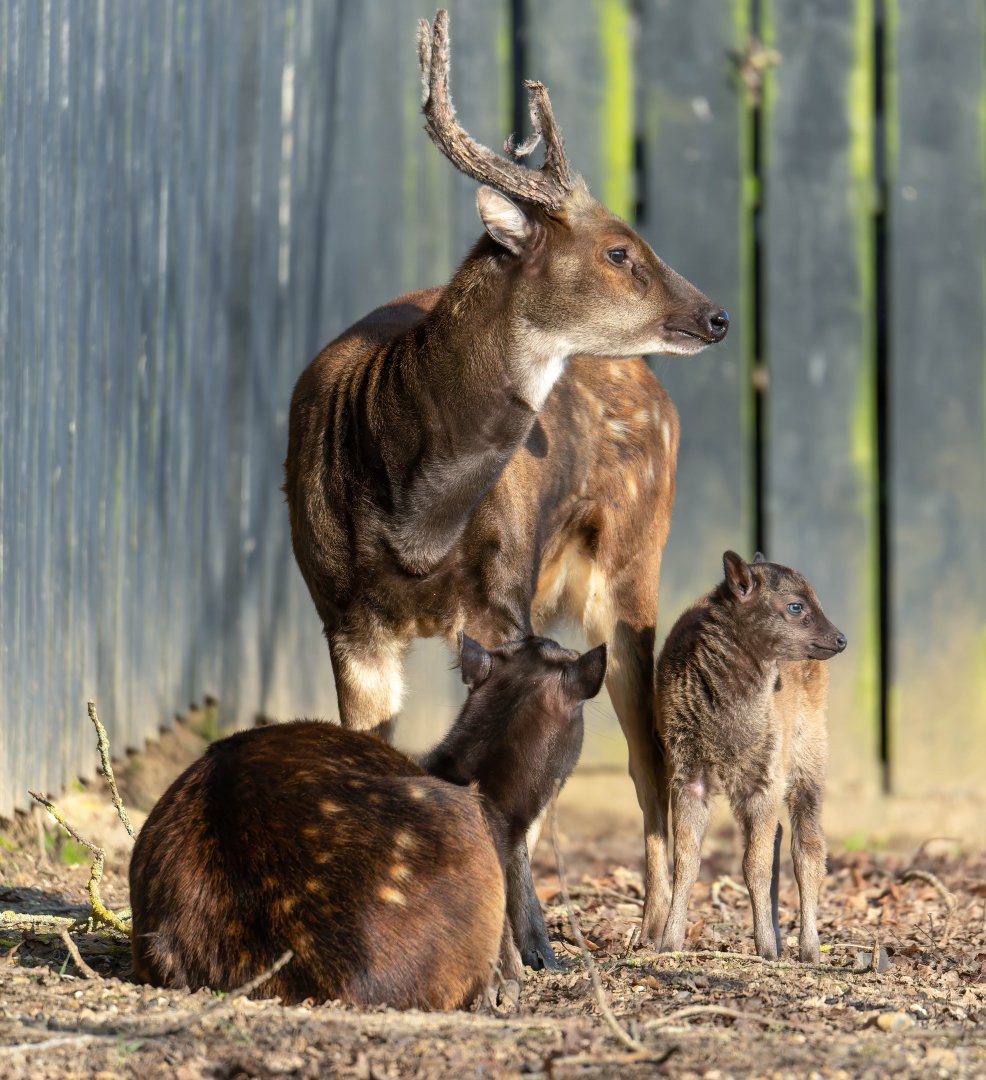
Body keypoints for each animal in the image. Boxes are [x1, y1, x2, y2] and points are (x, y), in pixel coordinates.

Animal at [283, 9, 729, 964]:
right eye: (618, 249)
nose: (715, 315)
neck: (416, 509)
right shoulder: (343, 616)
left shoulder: (505, 597)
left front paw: (530, 942)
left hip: (635, 562)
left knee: (649, 755)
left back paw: (655, 932)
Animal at [655, 552, 847, 962]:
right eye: (796, 606)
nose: (840, 638)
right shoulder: (687, 773)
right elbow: (686, 860)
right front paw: (668, 944)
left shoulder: (765, 776)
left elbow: (754, 864)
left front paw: (768, 951)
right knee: (778, 837)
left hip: (809, 753)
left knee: (808, 845)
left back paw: (810, 949)